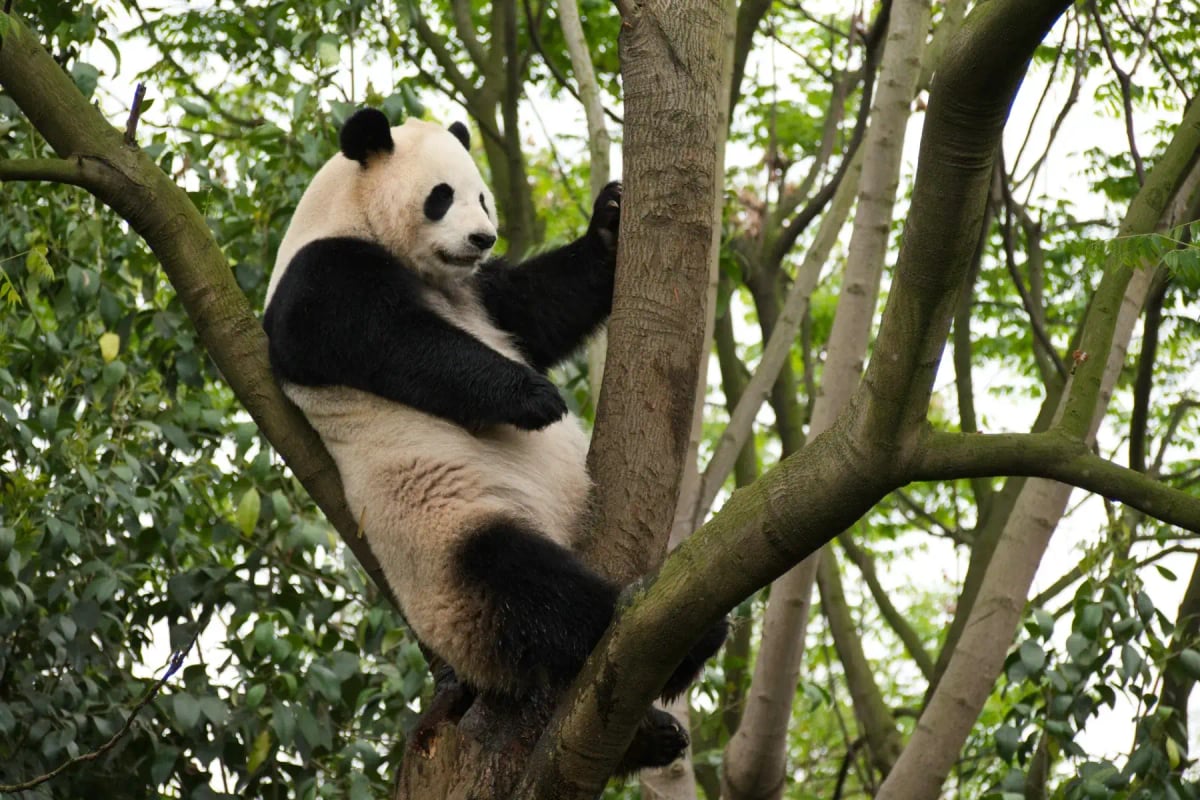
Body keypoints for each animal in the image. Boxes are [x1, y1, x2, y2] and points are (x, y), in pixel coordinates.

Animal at [262, 108, 726, 771]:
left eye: (482, 195)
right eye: (441, 197)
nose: (483, 239)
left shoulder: (480, 294)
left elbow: (539, 307)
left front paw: (610, 221)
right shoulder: (323, 277)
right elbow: (395, 340)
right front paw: (535, 398)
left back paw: (654, 736)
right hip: (445, 538)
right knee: (526, 585)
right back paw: (685, 642)